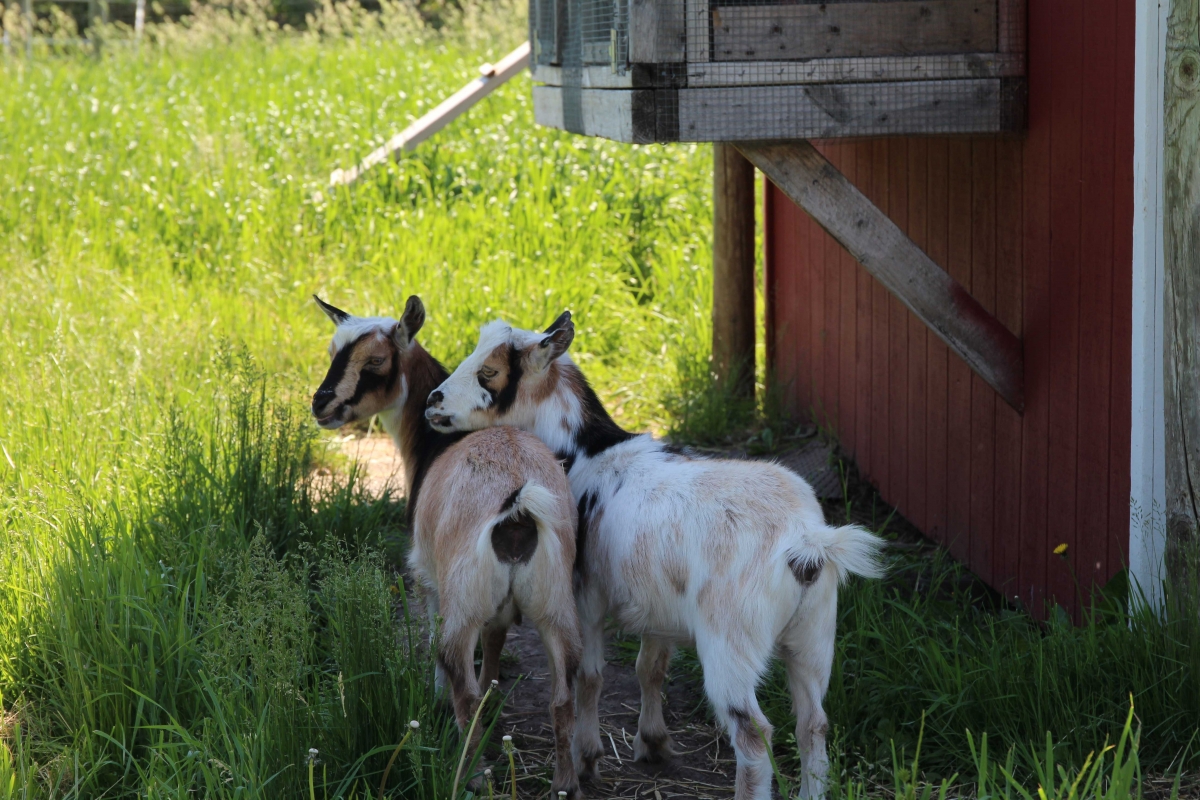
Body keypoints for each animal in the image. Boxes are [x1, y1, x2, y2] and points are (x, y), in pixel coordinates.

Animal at [309, 297, 585, 796]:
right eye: (333, 350)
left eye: (376, 361)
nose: (321, 404)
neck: (434, 445)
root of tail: (517, 509)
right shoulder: (499, 609)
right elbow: (495, 644)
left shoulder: (427, 577)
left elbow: (436, 641)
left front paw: (435, 697)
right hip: (556, 603)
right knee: (562, 692)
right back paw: (565, 783)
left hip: (465, 600)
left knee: (461, 679)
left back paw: (470, 774)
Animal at [427, 311, 888, 800]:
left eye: (490, 371)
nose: (433, 402)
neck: (589, 454)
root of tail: (806, 541)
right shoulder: (658, 605)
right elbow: (650, 668)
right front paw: (652, 744)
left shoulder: (585, 597)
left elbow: (590, 676)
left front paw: (587, 758)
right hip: (814, 634)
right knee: (813, 723)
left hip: (731, 641)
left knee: (753, 733)